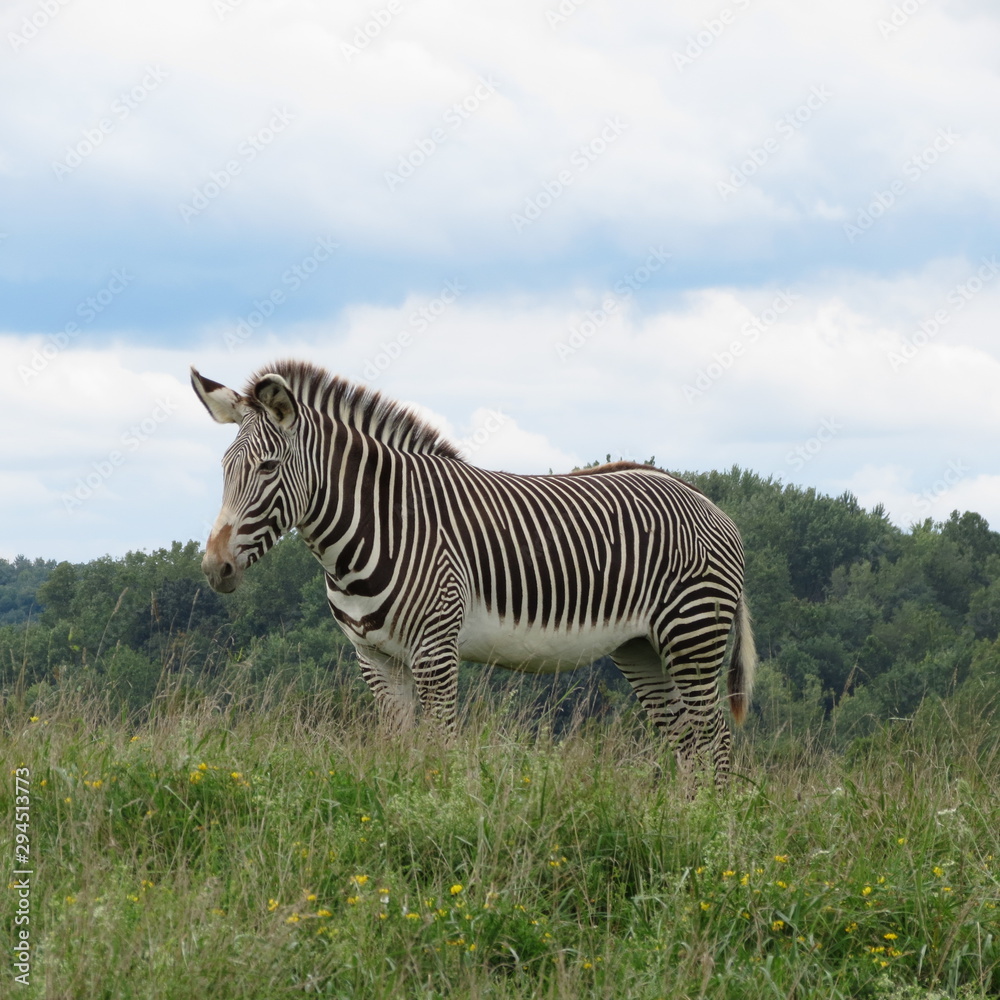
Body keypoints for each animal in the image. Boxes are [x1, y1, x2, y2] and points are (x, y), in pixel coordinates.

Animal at [192, 360, 756, 779]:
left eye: (267, 468)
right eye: (223, 468)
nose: (215, 568)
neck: (380, 525)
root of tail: (704, 498)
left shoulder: (435, 650)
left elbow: (440, 747)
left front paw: (436, 822)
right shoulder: (374, 657)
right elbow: (397, 749)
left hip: (692, 635)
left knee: (716, 740)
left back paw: (712, 827)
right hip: (642, 648)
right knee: (686, 741)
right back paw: (680, 820)